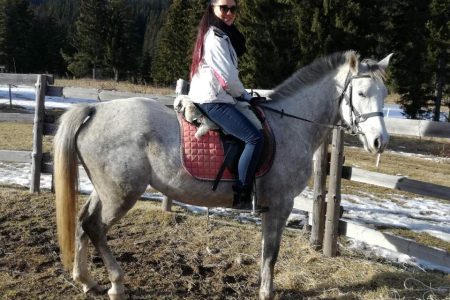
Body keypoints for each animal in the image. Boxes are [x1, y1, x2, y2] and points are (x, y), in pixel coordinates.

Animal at [51, 51, 390, 300]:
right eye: (361, 93)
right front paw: (267, 292)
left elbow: (266, 251)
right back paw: (116, 284)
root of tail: (95, 111)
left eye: (384, 94)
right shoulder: (280, 205)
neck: (290, 126)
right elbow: (272, 253)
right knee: (95, 227)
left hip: (105, 191)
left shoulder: (270, 207)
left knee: (82, 223)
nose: (380, 142)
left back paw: (86, 280)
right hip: (120, 195)